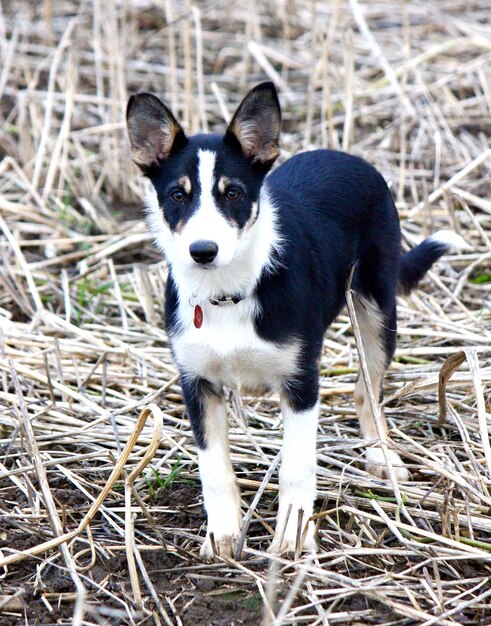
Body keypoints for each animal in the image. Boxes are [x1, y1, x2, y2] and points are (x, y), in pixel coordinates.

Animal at [125, 81, 468, 556]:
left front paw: (292, 535)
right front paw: (222, 535)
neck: (226, 293)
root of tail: (346, 156)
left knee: (367, 391)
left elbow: (298, 466)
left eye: (233, 194)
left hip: (377, 311)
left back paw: (381, 455)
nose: (203, 251)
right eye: (178, 195)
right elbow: (214, 468)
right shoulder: (197, 384)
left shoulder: (301, 382)